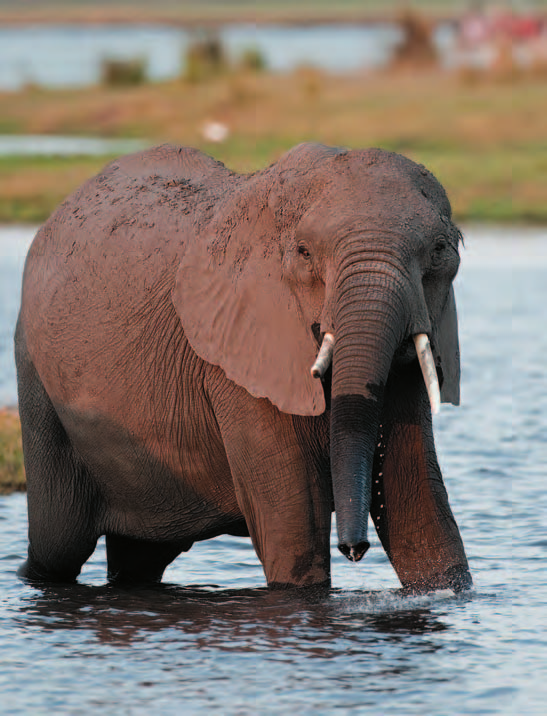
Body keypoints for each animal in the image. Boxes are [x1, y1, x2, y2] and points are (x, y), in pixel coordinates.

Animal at [15, 141, 474, 592]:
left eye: (440, 250)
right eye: (305, 253)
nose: (355, 550)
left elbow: (420, 512)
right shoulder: (236, 360)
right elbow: (296, 533)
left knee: (139, 558)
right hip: (35, 374)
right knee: (58, 546)